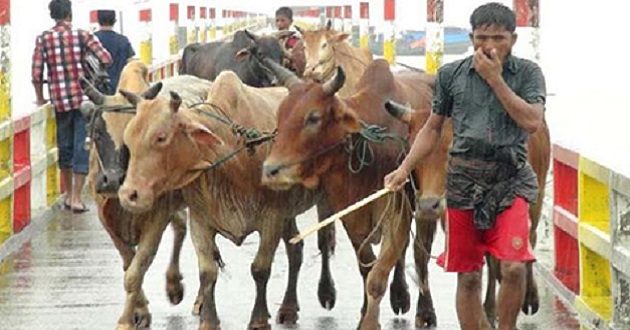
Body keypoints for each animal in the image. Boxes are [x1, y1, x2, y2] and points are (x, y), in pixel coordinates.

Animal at [118, 71, 336, 328]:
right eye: (128, 138)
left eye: (161, 137)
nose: (129, 194)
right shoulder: (201, 220)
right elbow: (207, 271)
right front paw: (209, 321)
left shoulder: (271, 217)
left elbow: (260, 269)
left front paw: (258, 320)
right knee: (295, 248)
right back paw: (288, 308)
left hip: (324, 200)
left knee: (324, 240)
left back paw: (326, 292)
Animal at [260, 58, 442, 328]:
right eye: (280, 116)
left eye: (313, 117)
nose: (270, 170)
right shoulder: (351, 216)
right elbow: (366, 267)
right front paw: (365, 313)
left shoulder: (396, 213)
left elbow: (378, 276)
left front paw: (371, 322)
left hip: (425, 206)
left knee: (420, 255)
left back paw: (424, 310)